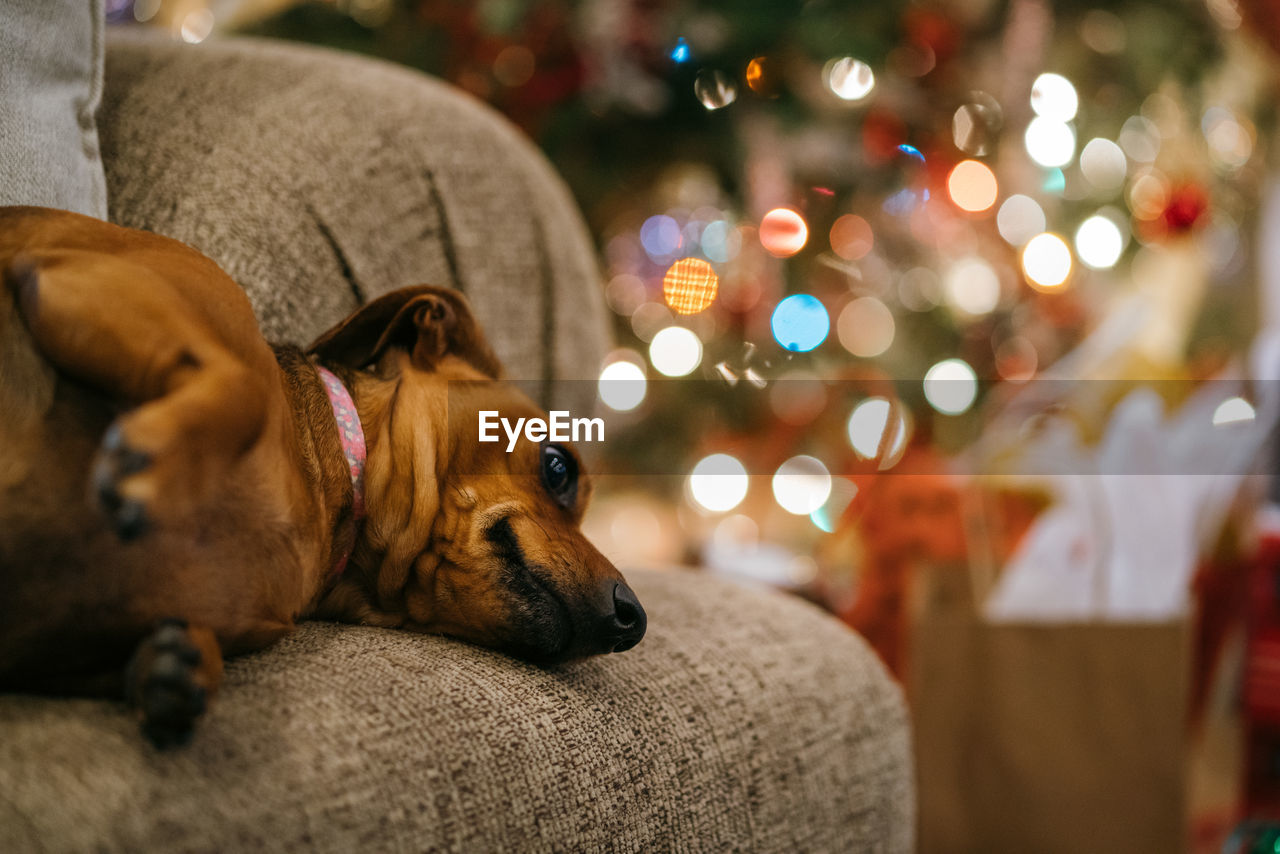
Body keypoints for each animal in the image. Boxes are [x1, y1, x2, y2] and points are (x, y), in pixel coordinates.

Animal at [0, 207, 640, 747]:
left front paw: (171, 668)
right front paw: (154, 465)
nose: (634, 620)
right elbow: (246, 386)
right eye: (558, 466)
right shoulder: (75, 273)